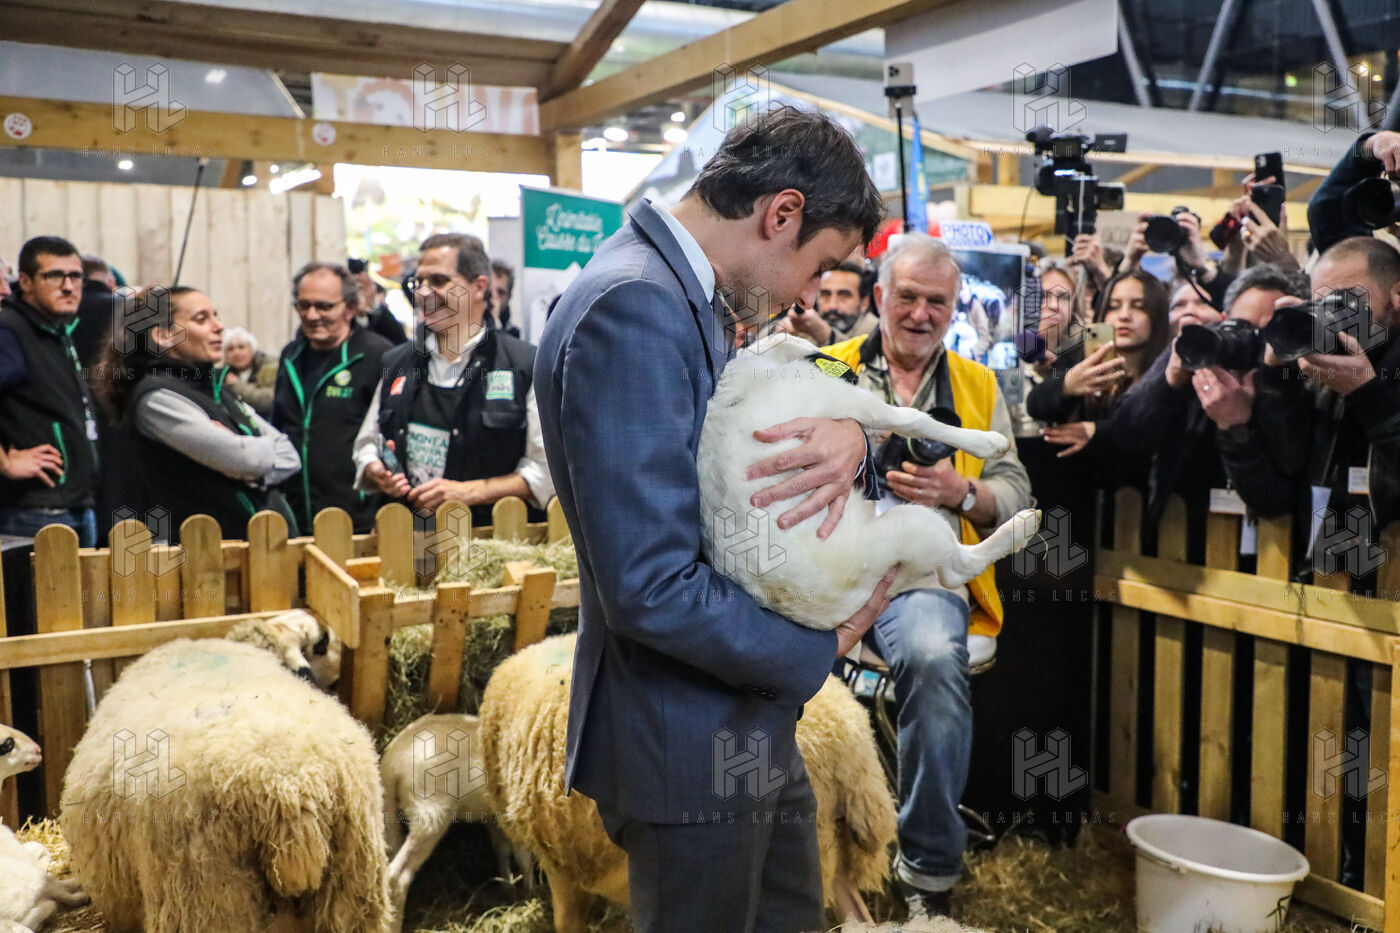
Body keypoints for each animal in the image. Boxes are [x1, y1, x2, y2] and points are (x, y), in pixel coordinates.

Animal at [380, 713, 535, 933]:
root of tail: (394, 763)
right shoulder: (515, 812)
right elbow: (523, 856)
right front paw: (531, 893)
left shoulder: (495, 817)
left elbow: (502, 851)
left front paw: (508, 887)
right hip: (430, 816)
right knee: (397, 877)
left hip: (389, 812)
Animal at [698, 332, 1040, 630]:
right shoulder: (852, 401)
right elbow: (913, 419)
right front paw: (990, 443)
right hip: (915, 524)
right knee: (957, 570)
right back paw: (1023, 525)